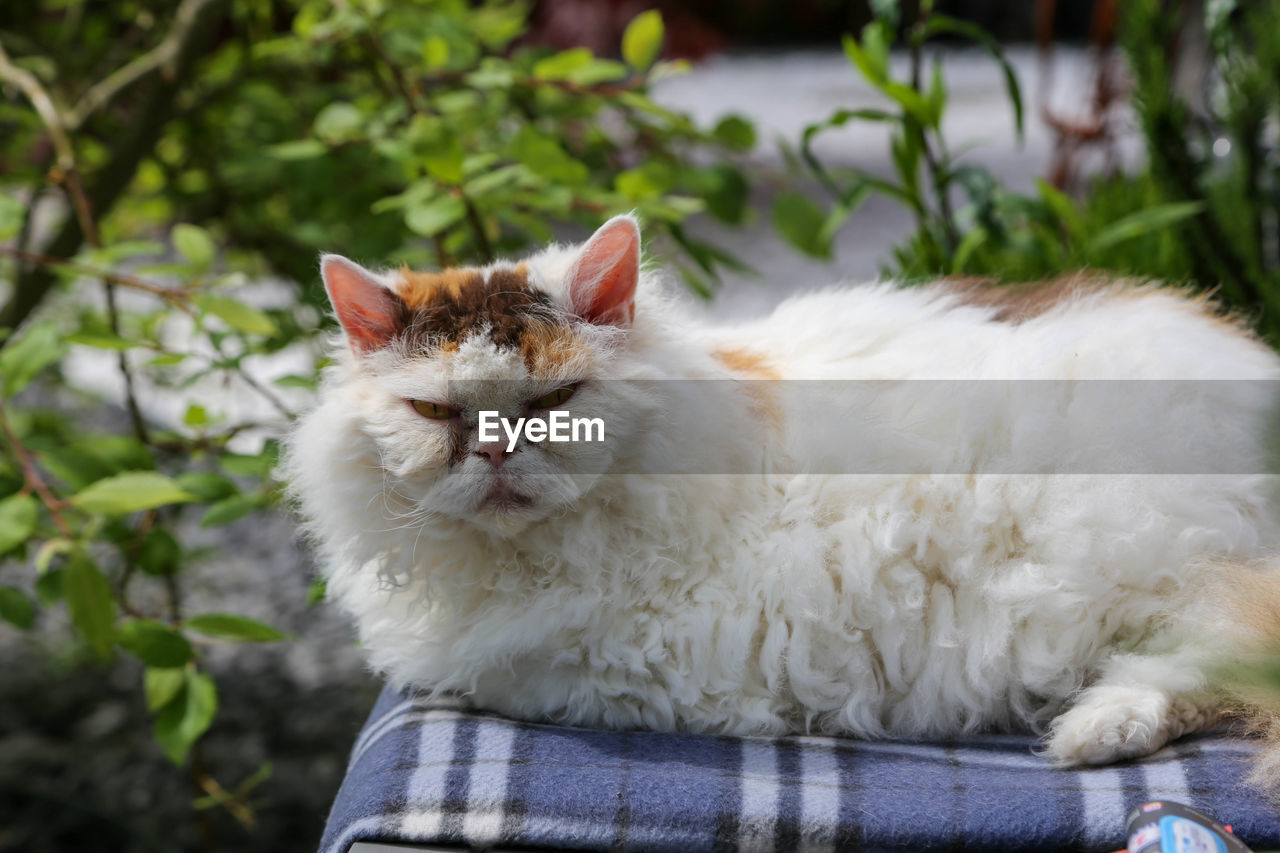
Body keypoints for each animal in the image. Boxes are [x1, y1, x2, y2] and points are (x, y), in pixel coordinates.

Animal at [285, 213, 1280, 763]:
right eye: (435, 411)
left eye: (556, 402)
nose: (494, 453)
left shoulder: (610, 668)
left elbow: (487, 677)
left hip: (1139, 569)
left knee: (1213, 663)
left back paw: (1090, 733)